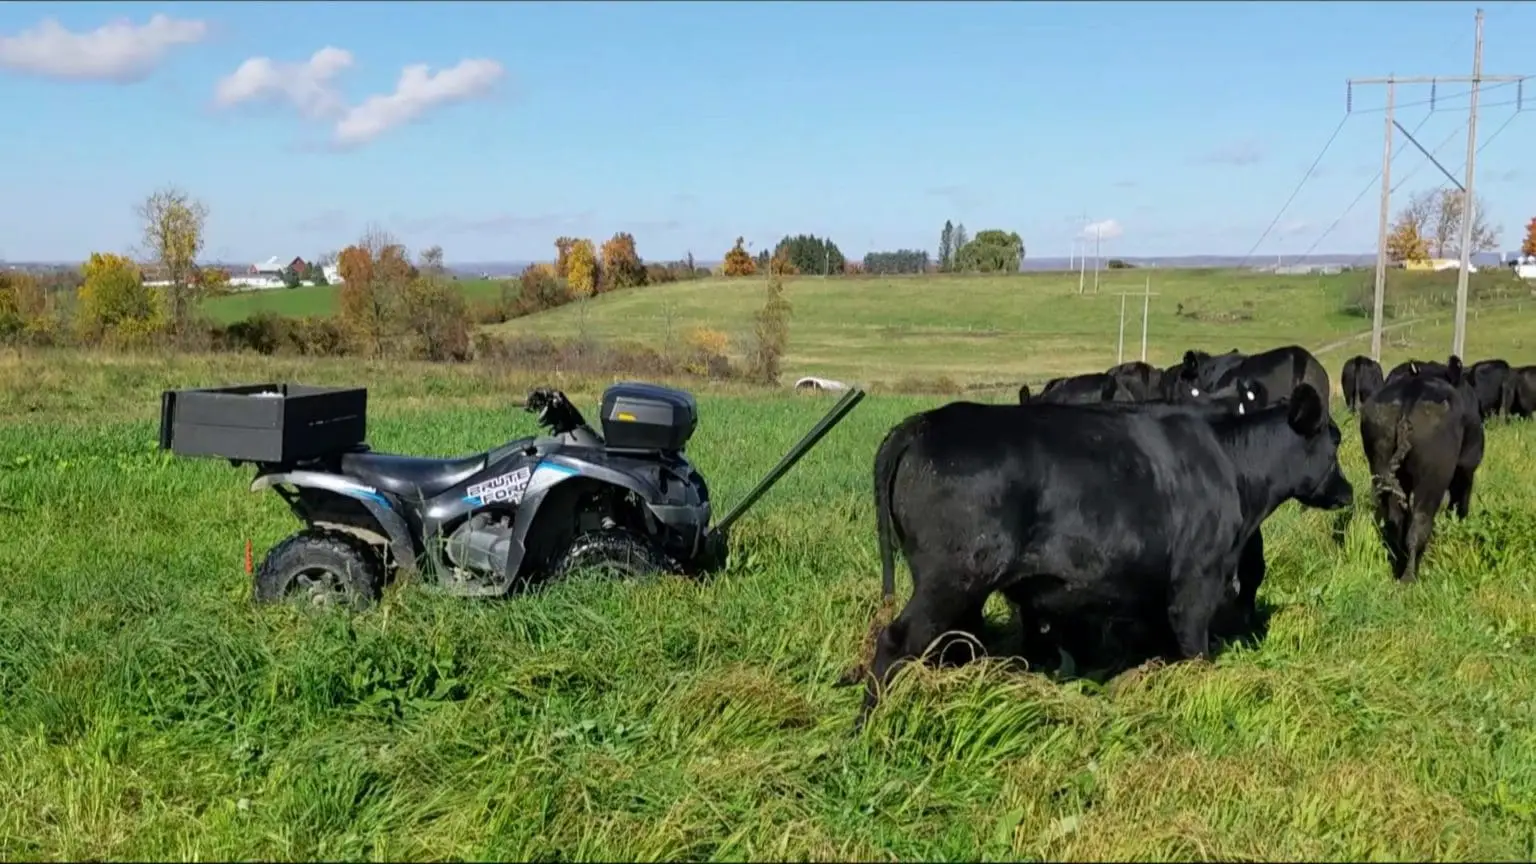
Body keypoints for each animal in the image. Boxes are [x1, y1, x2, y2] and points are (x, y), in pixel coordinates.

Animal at [866, 382, 1357, 719]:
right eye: (1334, 442)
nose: (1348, 491)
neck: (1231, 465)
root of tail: (925, 422)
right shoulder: (1197, 579)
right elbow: (1195, 648)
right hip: (951, 579)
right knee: (895, 641)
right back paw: (872, 725)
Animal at [1363, 353, 1480, 581]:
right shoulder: (1466, 466)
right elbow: (1460, 500)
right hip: (1433, 476)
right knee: (1419, 523)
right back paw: (1410, 577)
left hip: (1380, 463)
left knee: (1396, 522)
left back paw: (1399, 567)